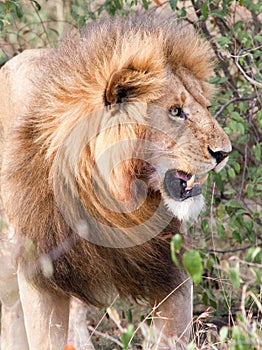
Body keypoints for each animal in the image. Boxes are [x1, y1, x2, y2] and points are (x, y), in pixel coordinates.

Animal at [0, 13, 230, 350]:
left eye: (207, 107)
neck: (111, 200)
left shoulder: (170, 272)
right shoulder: (40, 273)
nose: (224, 152)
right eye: (176, 111)